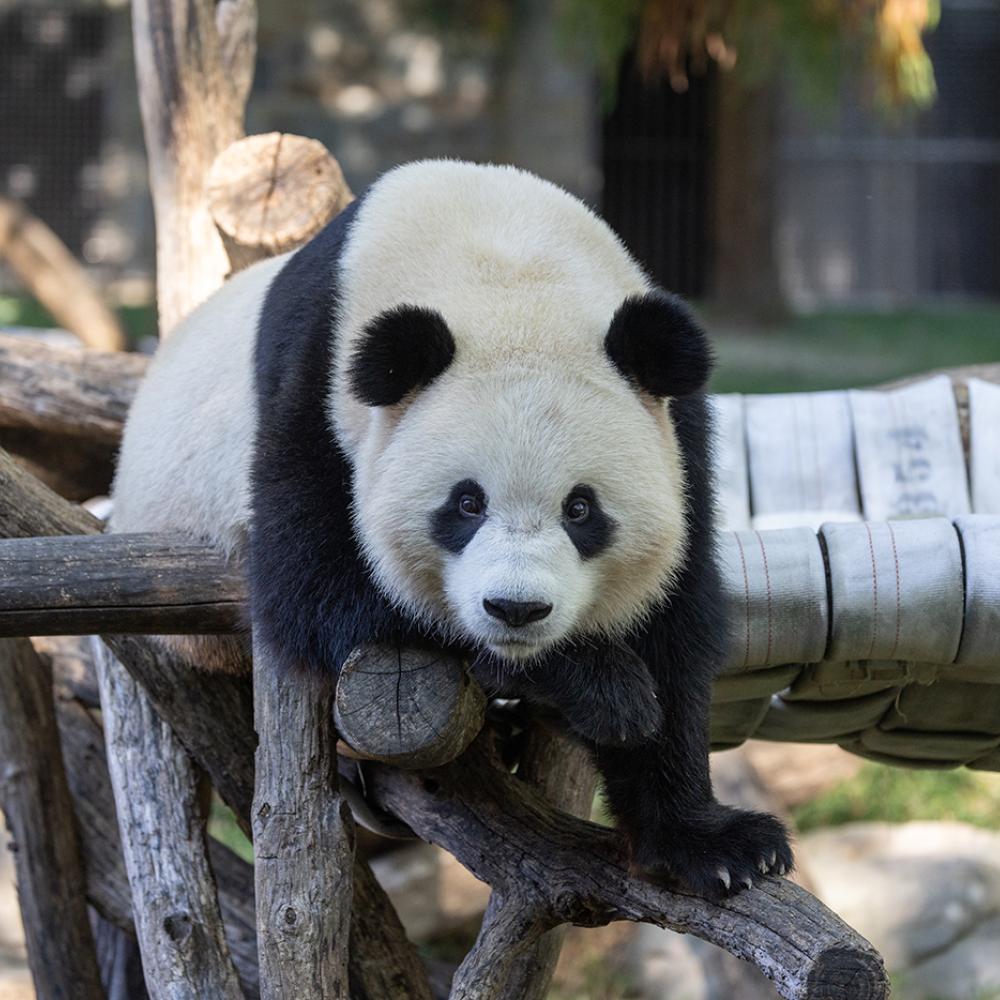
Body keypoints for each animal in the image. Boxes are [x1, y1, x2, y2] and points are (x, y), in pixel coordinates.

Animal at [115, 158, 788, 900]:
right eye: (466, 504)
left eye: (581, 509)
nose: (516, 610)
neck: (504, 263)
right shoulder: (313, 389)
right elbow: (315, 587)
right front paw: (600, 689)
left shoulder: (678, 432)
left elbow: (674, 622)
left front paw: (712, 841)